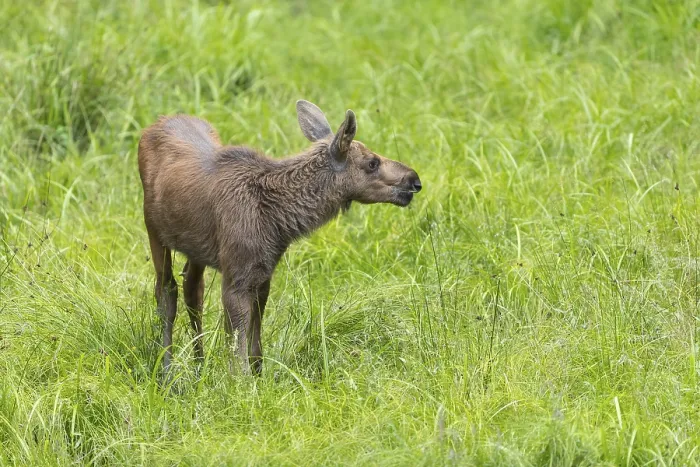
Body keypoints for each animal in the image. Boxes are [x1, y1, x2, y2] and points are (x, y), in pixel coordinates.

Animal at [137, 100, 422, 376]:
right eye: (372, 162)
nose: (414, 180)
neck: (277, 220)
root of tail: (153, 125)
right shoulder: (237, 277)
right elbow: (237, 353)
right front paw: (239, 385)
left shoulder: (263, 275)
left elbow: (255, 346)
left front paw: (259, 377)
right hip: (153, 229)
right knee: (166, 291)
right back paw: (167, 371)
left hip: (195, 249)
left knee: (192, 289)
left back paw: (198, 366)